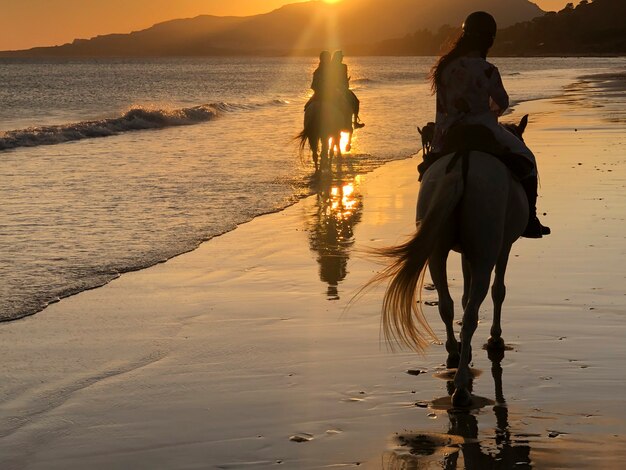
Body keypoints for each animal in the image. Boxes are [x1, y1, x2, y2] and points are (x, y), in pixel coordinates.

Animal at [376, 115, 528, 406]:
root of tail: (462, 162)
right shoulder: (502, 247)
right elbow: (498, 291)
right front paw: (495, 337)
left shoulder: (465, 252)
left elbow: (463, 296)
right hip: (485, 249)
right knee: (471, 314)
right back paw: (460, 387)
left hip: (436, 249)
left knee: (446, 305)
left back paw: (455, 354)